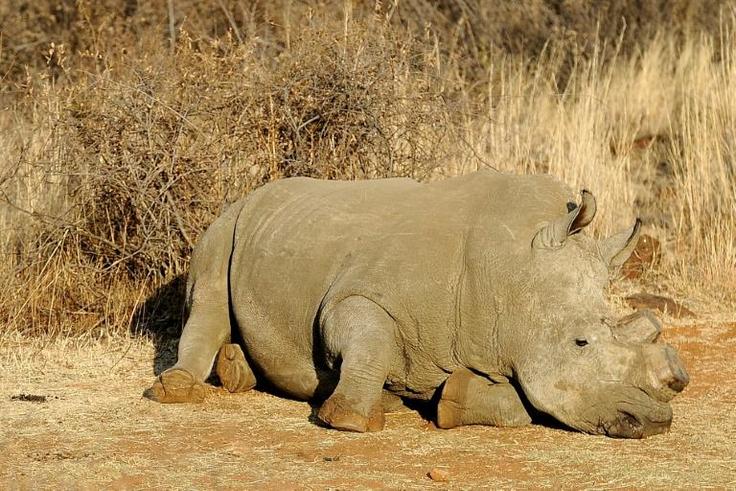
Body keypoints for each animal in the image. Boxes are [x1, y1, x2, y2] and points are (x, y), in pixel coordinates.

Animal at [145, 170, 689, 438]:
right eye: (581, 342)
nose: (655, 423)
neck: (509, 273)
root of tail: (252, 194)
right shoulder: (357, 296)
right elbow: (363, 334)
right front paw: (350, 420)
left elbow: (518, 401)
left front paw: (451, 402)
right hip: (227, 223)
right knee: (208, 294)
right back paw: (176, 391)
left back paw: (237, 373)